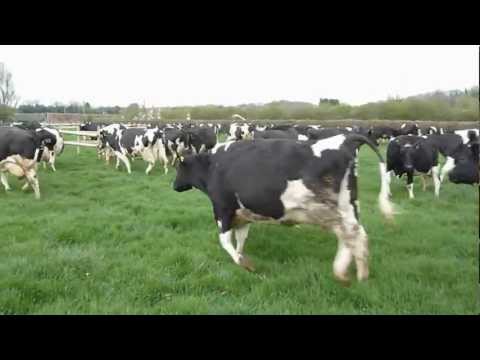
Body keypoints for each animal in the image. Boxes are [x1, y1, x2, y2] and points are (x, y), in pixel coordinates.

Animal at [172, 133, 394, 284]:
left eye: (178, 168)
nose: (173, 186)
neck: (212, 166)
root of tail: (346, 138)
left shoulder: (222, 208)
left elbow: (225, 241)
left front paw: (244, 264)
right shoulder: (243, 214)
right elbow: (241, 239)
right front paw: (241, 257)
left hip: (330, 209)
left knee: (352, 234)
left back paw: (347, 271)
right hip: (347, 205)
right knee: (354, 235)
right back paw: (354, 273)